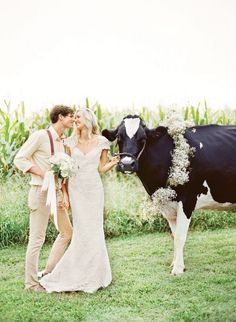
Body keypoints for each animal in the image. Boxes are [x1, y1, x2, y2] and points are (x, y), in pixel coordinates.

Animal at [102, 115, 236, 274]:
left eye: (143, 138)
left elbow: (180, 237)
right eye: (118, 137)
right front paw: (175, 264)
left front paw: (177, 269)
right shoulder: (167, 204)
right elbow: (174, 235)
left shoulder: (187, 200)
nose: (127, 164)